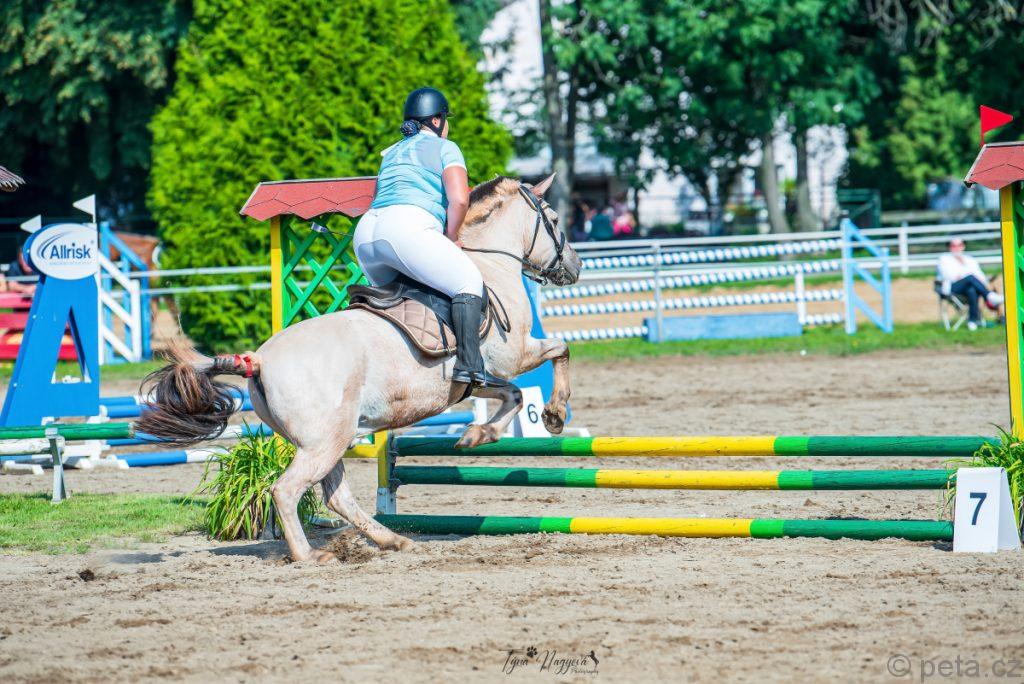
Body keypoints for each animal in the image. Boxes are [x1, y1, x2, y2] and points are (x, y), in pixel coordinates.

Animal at [137, 174, 582, 563]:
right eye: (554, 219)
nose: (575, 267)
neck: (490, 267)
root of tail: (260, 360)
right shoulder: (513, 356)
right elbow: (559, 351)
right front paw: (554, 415)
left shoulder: (480, 379)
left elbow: (514, 394)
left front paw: (478, 434)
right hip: (325, 441)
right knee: (287, 490)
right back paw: (309, 555)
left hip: (326, 439)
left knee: (337, 495)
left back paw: (393, 540)